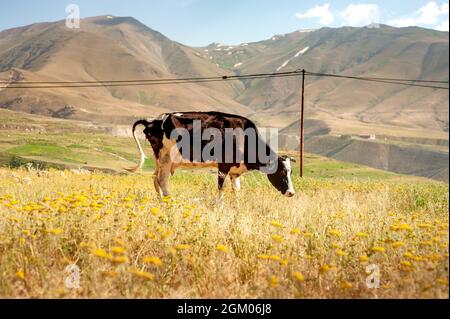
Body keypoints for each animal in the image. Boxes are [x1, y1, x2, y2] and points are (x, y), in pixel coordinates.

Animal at [126, 111, 296, 199]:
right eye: (282, 171)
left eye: (290, 172)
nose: (291, 192)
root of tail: (154, 120)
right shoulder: (223, 166)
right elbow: (221, 188)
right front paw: (218, 207)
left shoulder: (235, 172)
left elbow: (236, 190)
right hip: (166, 159)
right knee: (162, 181)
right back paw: (170, 200)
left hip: (159, 160)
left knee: (155, 179)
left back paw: (161, 200)